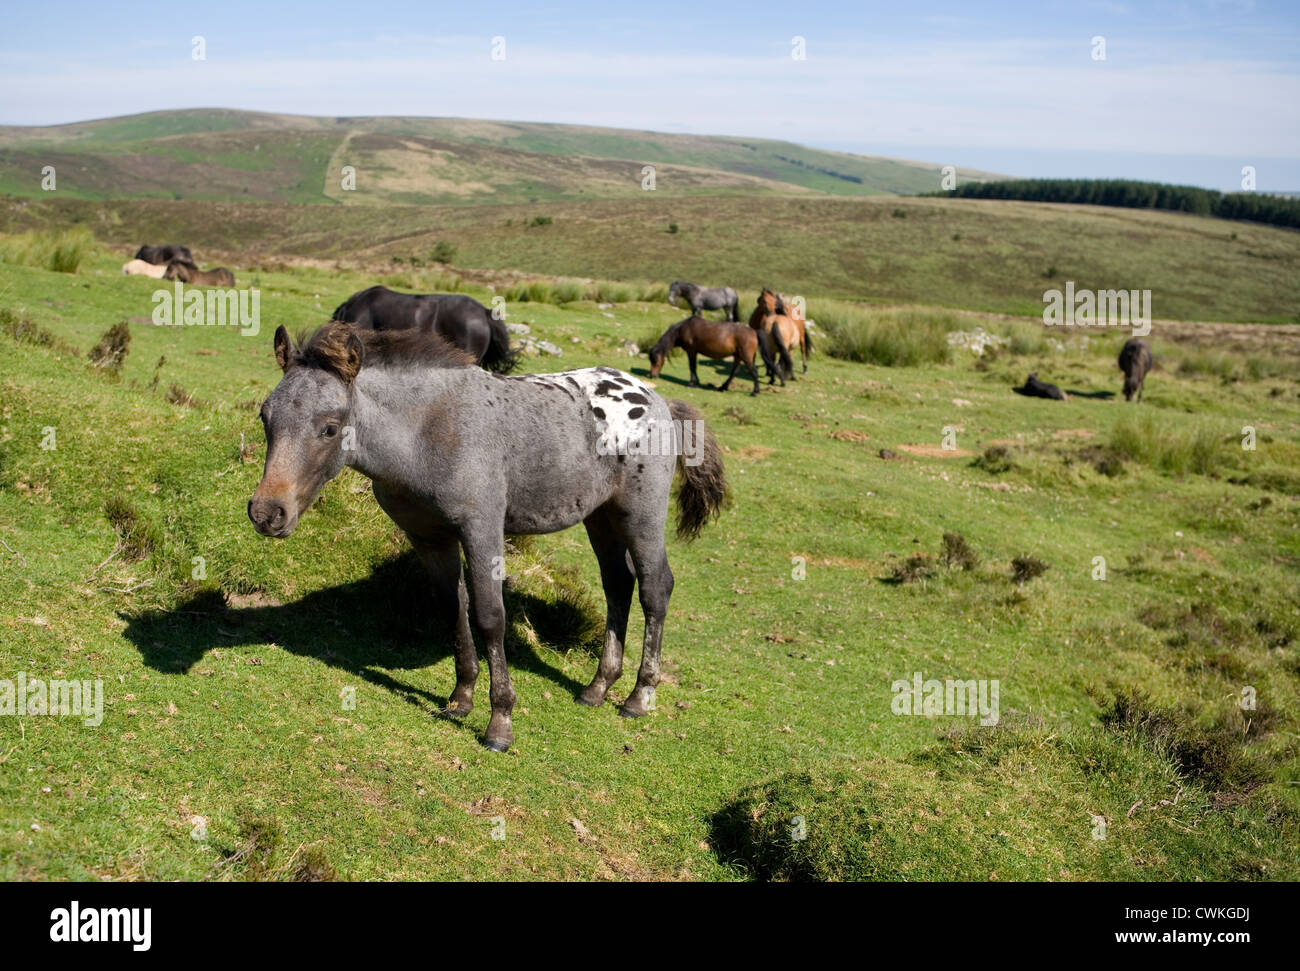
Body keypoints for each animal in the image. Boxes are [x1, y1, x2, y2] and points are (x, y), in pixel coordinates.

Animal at [249, 321, 727, 752]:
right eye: (265, 416)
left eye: (330, 427)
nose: (266, 512)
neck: (428, 431)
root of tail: (657, 399)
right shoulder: (429, 538)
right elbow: (453, 609)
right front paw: (460, 698)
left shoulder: (481, 530)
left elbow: (490, 617)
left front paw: (500, 722)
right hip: (600, 517)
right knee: (617, 586)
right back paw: (597, 688)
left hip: (640, 515)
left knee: (654, 588)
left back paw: (638, 696)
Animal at [647, 316, 777, 396]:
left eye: (655, 361)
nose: (653, 375)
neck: (683, 328)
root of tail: (754, 332)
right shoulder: (694, 352)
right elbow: (694, 367)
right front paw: (696, 382)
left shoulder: (691, 351)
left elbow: (692, 366)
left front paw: (692, 383)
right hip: (738, 356)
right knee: (734, 372)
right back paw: (722, 387)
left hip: (746, 357)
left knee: (753, 372)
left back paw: (755, 392)